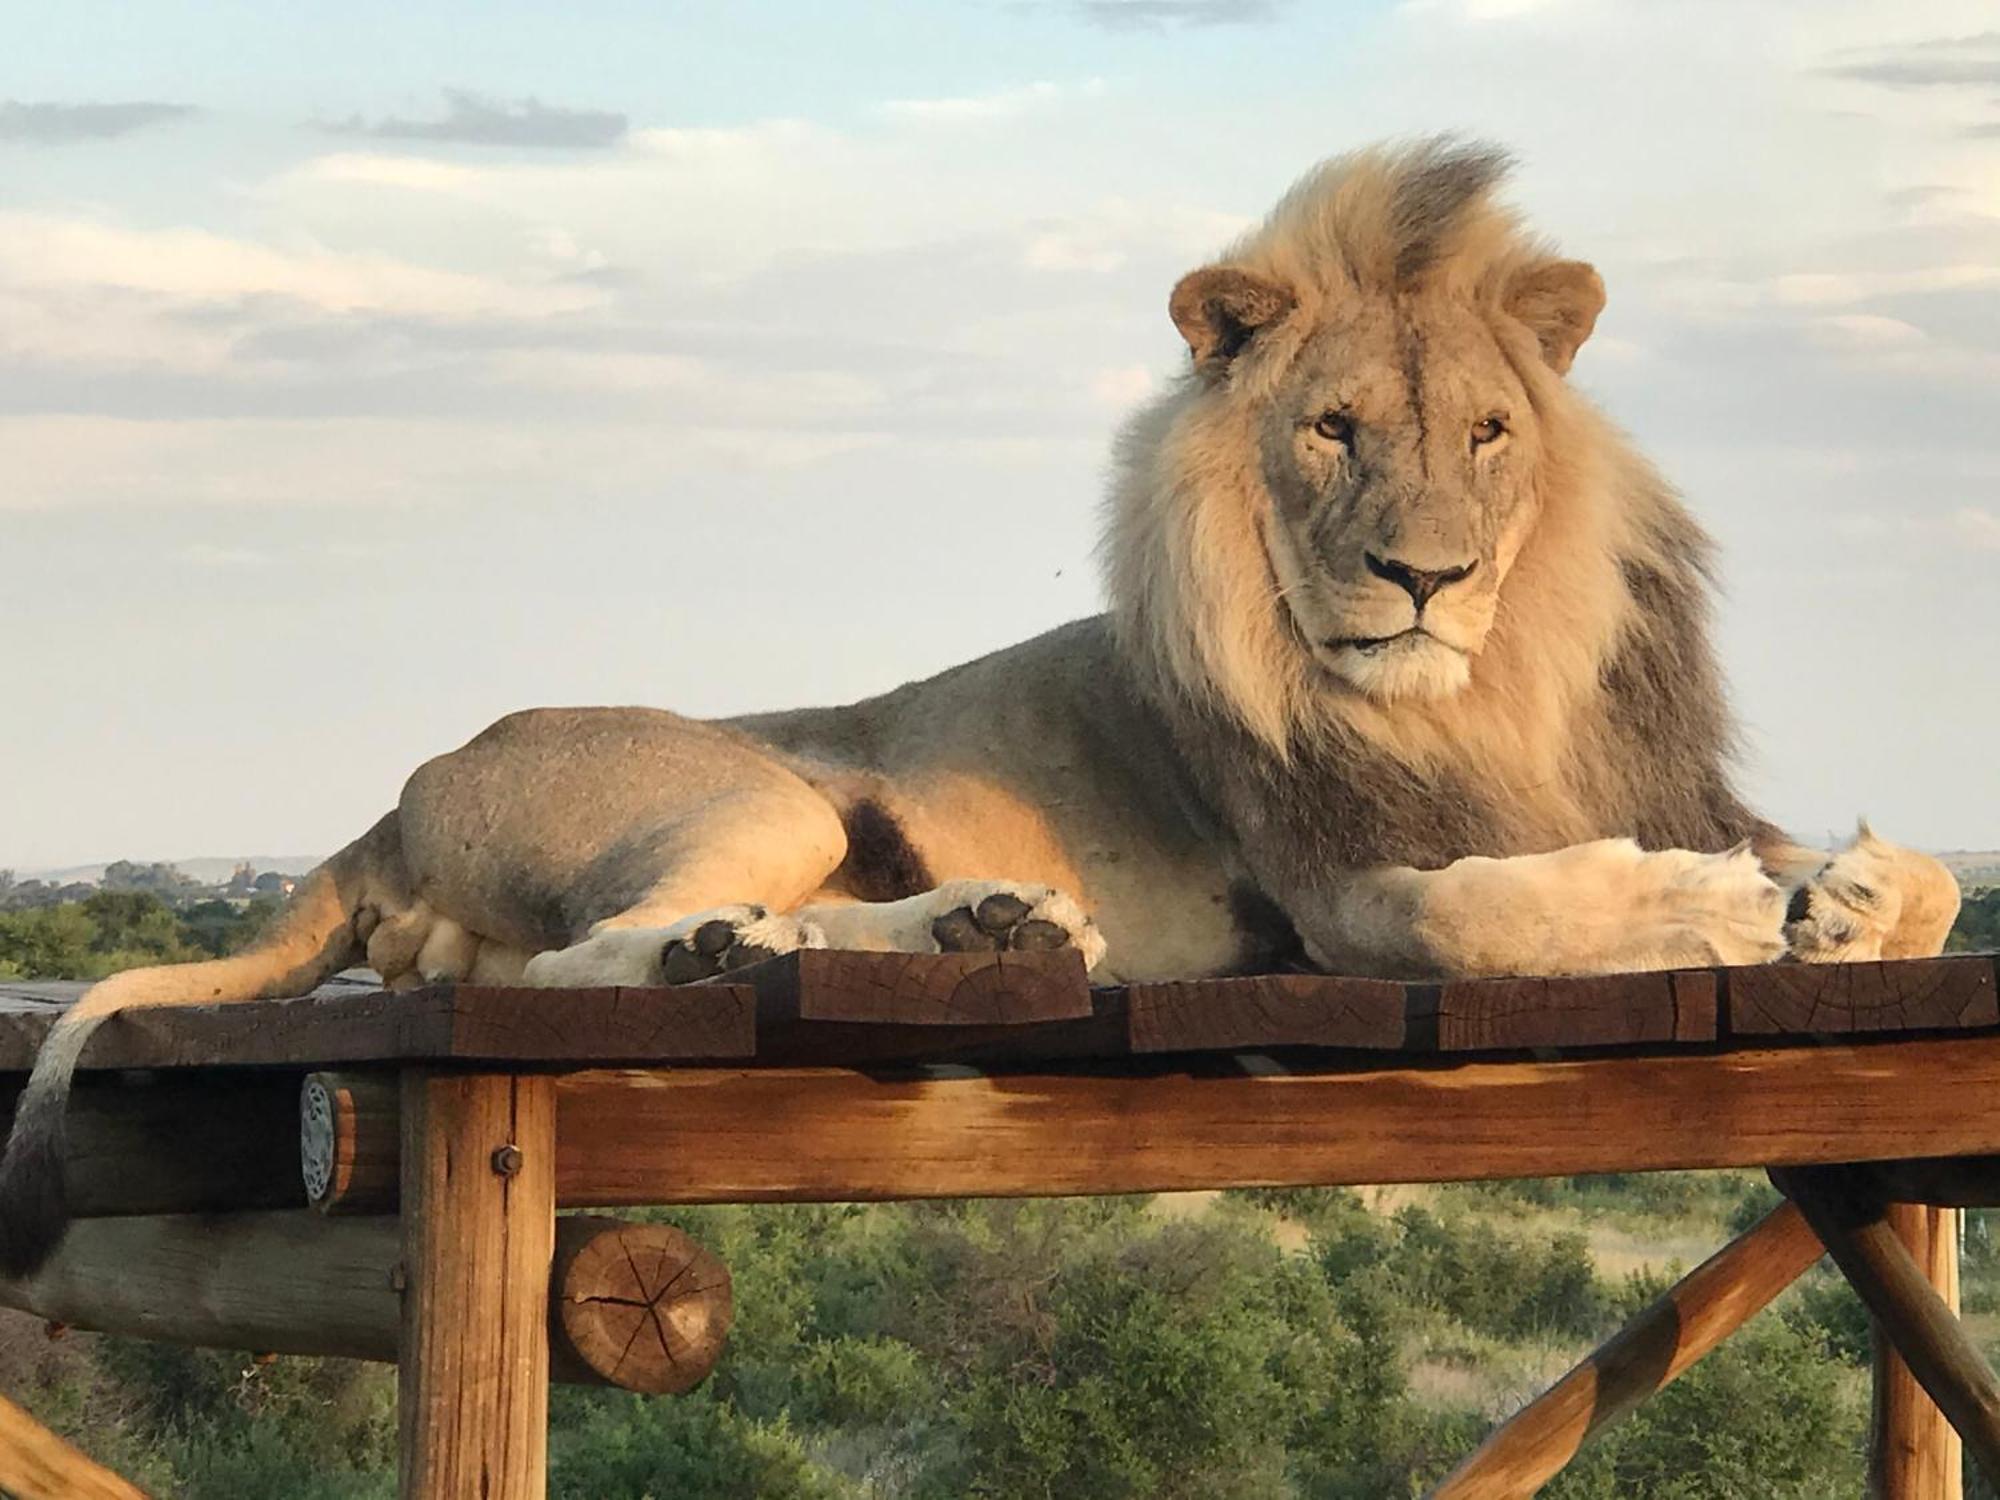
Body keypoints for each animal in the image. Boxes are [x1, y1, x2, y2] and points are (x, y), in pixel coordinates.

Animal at [0, 141, 1952, 1272]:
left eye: (1486, 433)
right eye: (1332, 432)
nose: (1425, 578)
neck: (1485, 691)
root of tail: (393, 800)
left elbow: (1920, 878)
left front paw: (1846, 899)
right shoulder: (1336, 899)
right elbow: (1495, 916)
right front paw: (1718, 908)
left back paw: (979, 929)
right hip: (757, 793)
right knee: (561, 971)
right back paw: (733, 953)